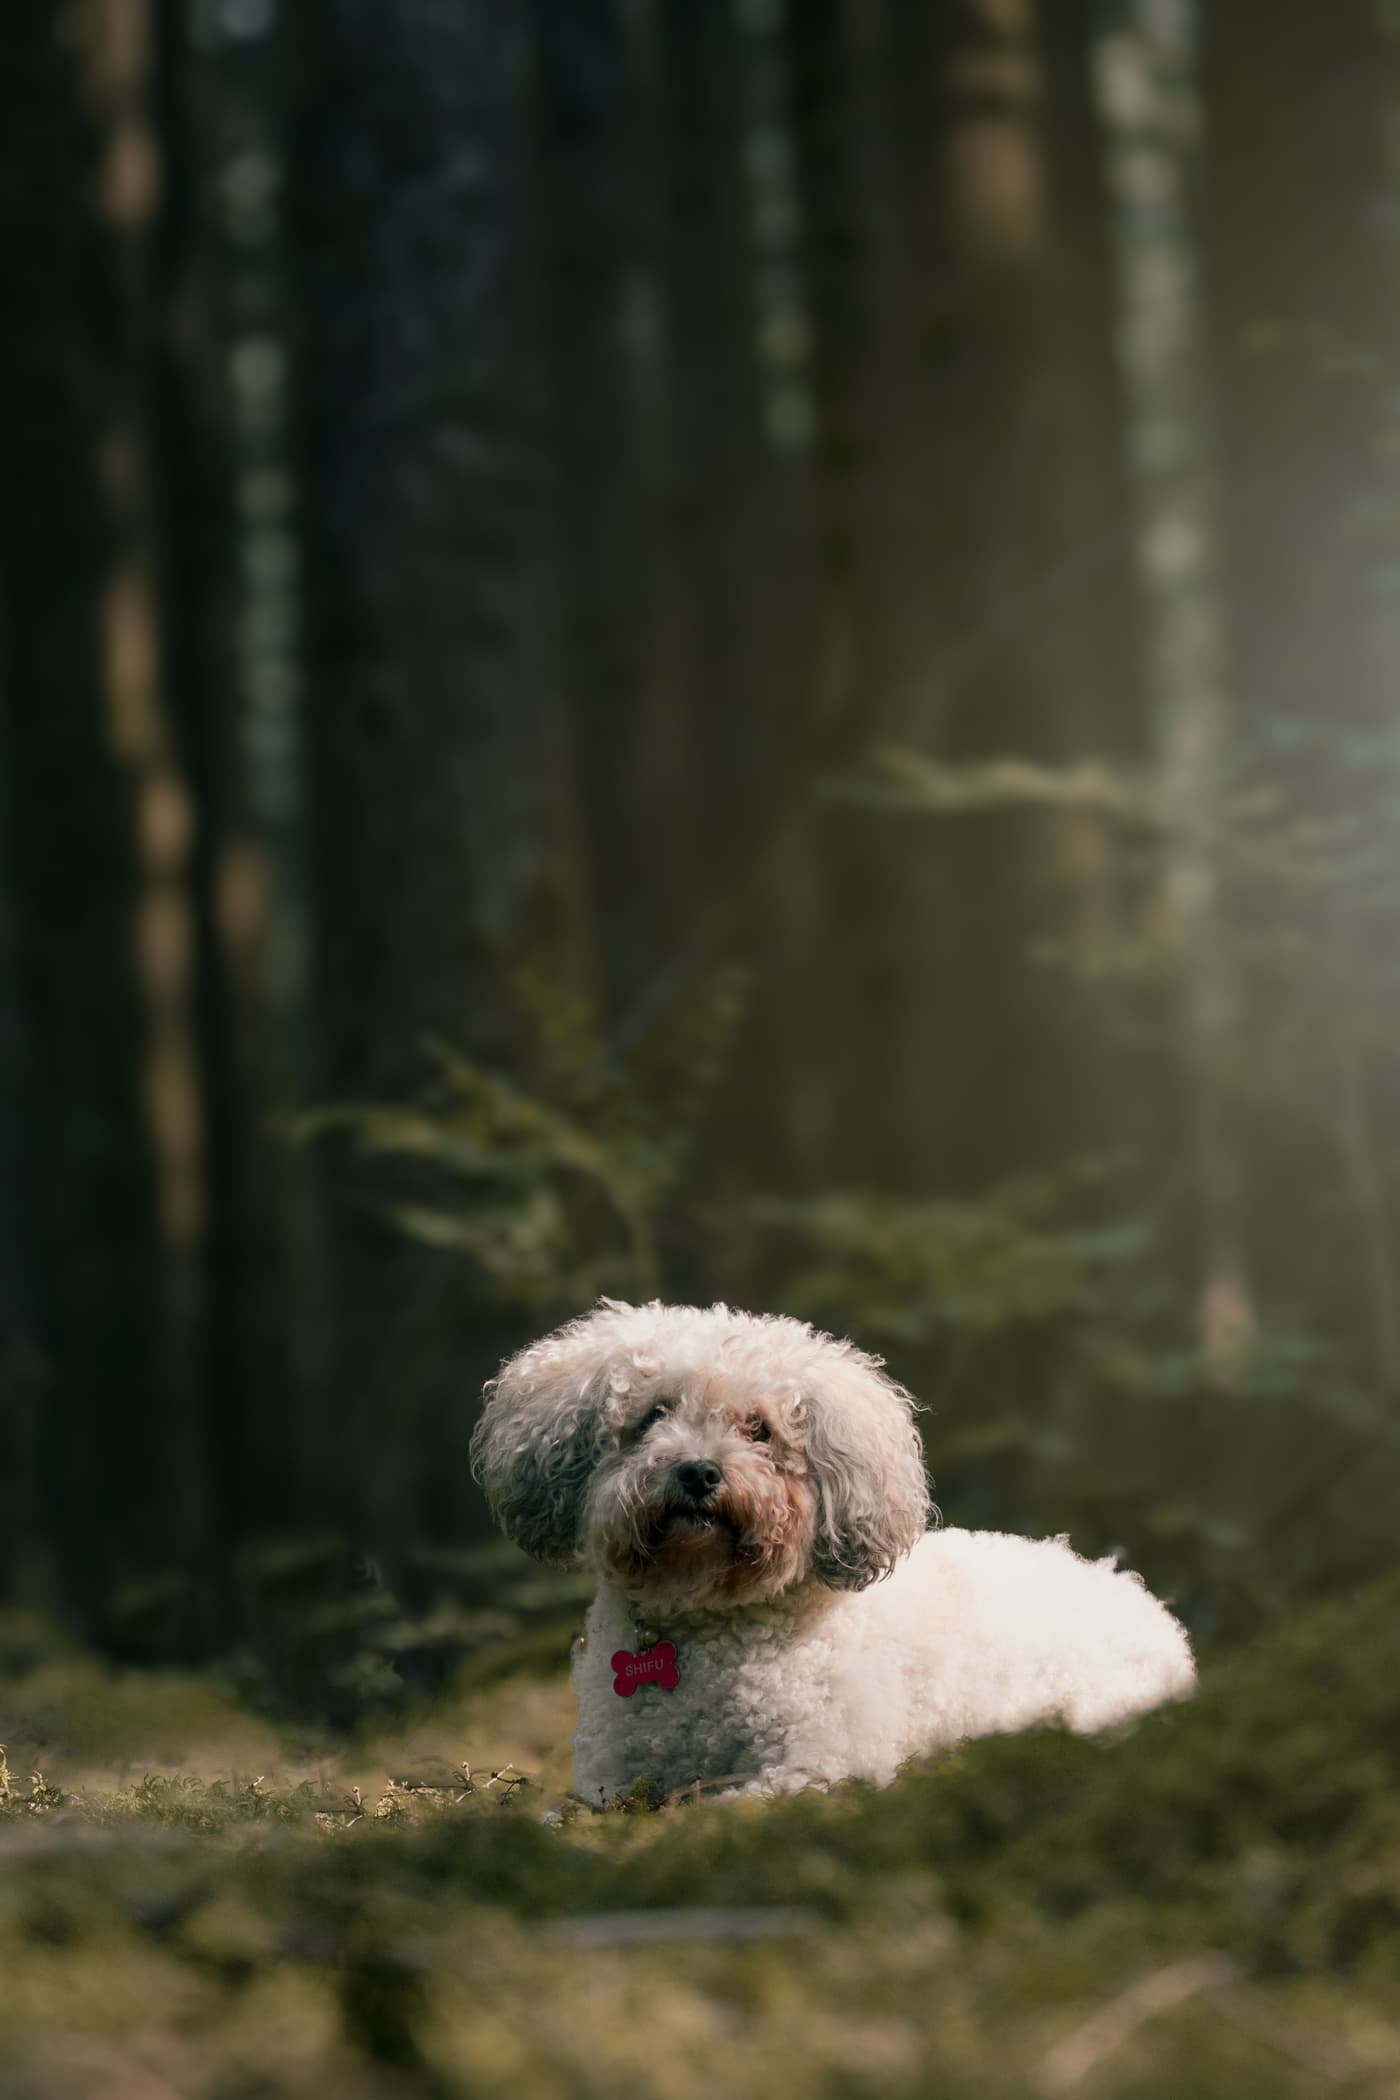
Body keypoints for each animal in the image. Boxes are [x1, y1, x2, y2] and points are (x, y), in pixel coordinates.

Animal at [470, 1302, 1192, 1797]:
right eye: (654, 1414)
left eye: (759, 1429)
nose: (698, 1472)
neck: (706, 1620)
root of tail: (1132, 1591)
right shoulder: (611, 1778)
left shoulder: (815, 1764)